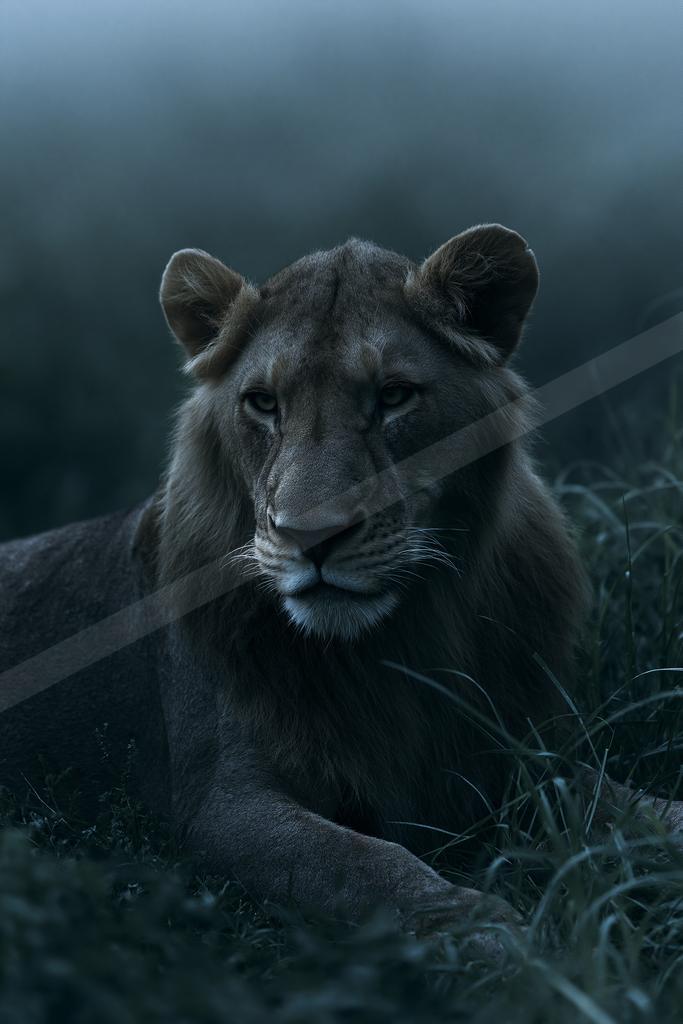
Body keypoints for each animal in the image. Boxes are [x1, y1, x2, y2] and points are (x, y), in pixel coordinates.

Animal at [1, 224, 680, 950]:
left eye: (393, 396)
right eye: (263, 403)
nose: (312, 536)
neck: (399, 642)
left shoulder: (511, 753)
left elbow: (628, 803)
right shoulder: (218, 804)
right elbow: (367, 865)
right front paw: (500, 940)